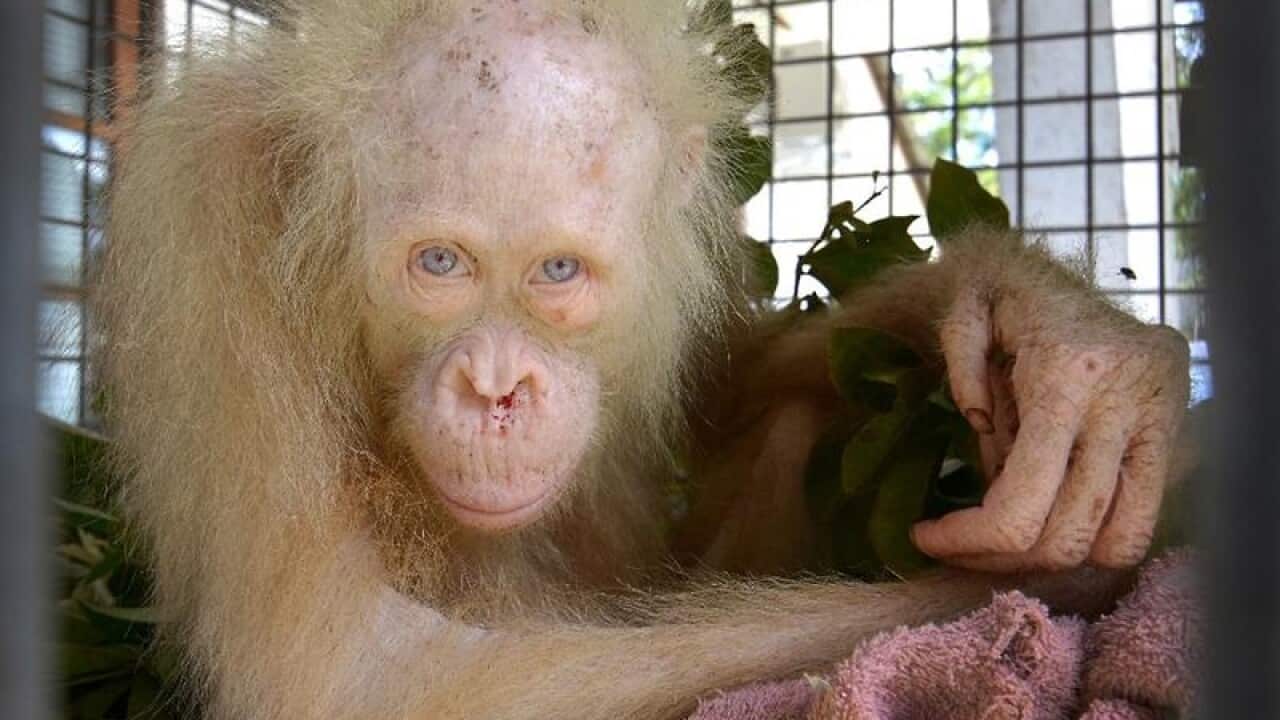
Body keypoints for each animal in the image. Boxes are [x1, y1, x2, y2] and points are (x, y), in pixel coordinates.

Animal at [93, 1, 1191, 718]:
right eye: (441, 263)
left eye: (558, 270)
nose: (496, 387)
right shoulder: (209, 226)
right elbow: (373, 675)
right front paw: (1043, 589)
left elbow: (721, 386)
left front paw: (1052, 331)